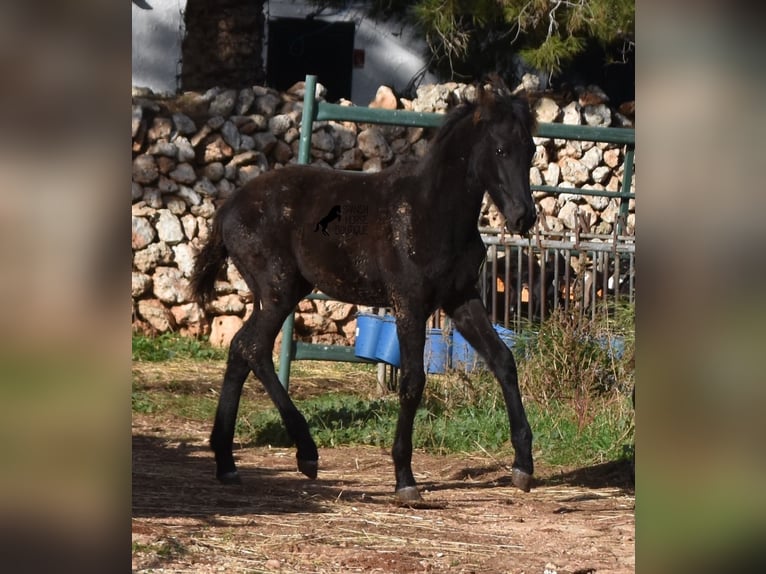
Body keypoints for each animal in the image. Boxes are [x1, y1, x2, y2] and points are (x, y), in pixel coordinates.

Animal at [192, 81, 540, 504]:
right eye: (501, 150)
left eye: (532, 149)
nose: (524, 216)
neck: (432, 212)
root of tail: (227, 208)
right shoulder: (409, 303)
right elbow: (412, 381)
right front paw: (405, 478)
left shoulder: (461, 299)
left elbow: (503, 360)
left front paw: (523, 466)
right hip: (278, 290)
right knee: (253, 349)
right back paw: (305, 453)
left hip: (279, 293)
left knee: (240, 350)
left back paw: (227, 462)